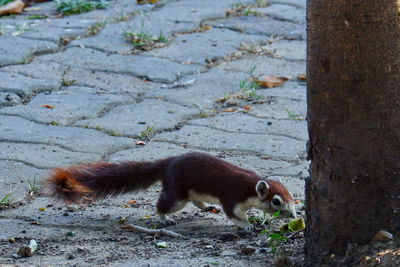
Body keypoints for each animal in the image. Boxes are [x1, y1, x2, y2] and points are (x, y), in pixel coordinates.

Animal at [47, 152, 296, 231]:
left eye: (293, 198)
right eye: (276, 201)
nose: (294, 215)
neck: (249, 185)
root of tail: (168, 163)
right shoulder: (232, 196)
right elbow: (233, 214)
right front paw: (247, 225)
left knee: (196, 202)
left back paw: (207, 206)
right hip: (177, 194)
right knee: (162, 205)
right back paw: (165, 219)